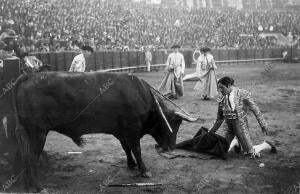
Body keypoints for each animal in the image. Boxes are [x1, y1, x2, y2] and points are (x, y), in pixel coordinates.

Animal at [9, 71, 197, 191]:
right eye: (175, 123)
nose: (171, 148)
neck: (140, 94)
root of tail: (29, 76)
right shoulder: (132, 129)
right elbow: (136, 149)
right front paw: (144, 171)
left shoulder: (121, 131)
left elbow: (126, 148)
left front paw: (131, 164)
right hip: (37, 132)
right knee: (32, 157)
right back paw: (38, 187)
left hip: (26, 133)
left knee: (25, 157)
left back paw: (27, 185)